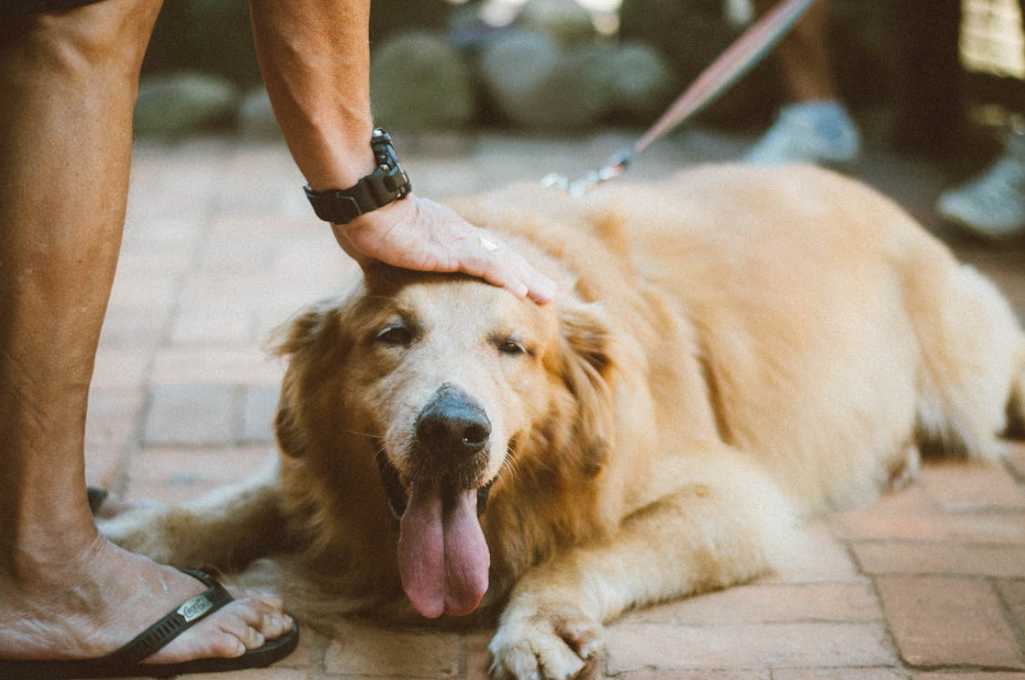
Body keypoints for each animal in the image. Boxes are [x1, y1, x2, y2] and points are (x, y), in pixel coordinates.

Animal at [101, 165, 1025, 680]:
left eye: (514, 347)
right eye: (392, 335)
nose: (453, 431)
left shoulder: (734, 501)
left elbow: (584, 548)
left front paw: (542, 621)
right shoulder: (317, 473)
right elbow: (236, 500)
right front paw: (137, 538)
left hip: (975, 367)